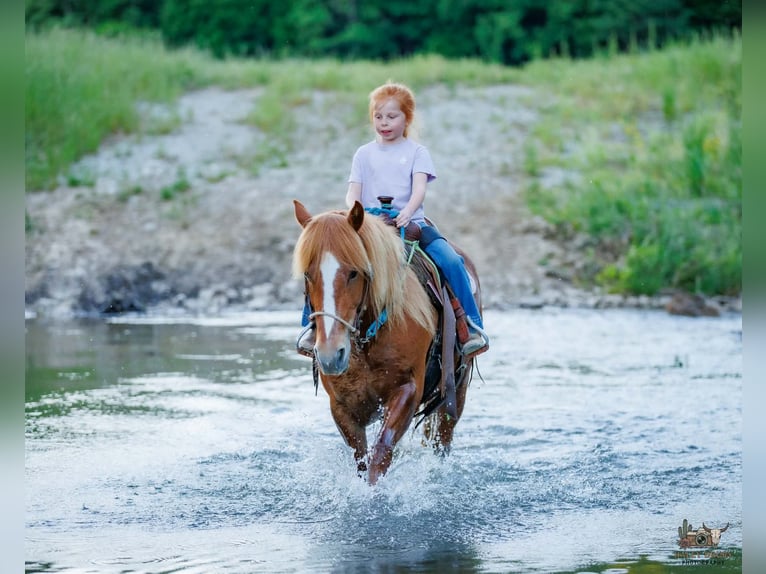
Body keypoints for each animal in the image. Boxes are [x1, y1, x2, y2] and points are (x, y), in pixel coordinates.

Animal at [292, 199, 482, 484]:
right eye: (307, 274)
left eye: (354, 273)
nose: (330, 355)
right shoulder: (341, 404)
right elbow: (361, 457)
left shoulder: (408, 389)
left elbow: (381, 453)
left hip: (457, 389)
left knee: (442, 441)